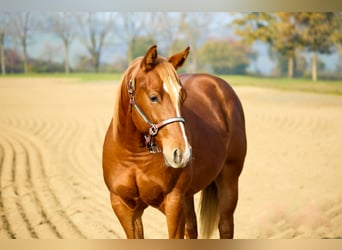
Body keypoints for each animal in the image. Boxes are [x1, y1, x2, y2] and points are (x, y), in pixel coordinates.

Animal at [101, 44, 246, 238]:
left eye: (183, 97)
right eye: (153, 97)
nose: (182, 153)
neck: (134, 156)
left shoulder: (174, 203)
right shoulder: (124, 207)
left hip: (229, 180)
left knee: (225, 226)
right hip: (188, 196)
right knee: (192, 229)